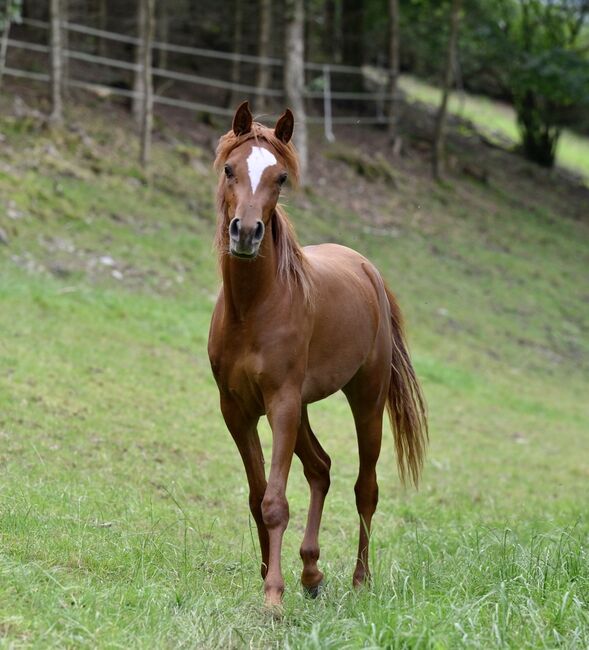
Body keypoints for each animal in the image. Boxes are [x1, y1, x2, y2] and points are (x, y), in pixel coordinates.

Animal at [208, 101, 428, 608]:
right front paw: (270, 576)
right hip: (303, 408)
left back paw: (359, 580)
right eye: (230, 169)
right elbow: (257, 497)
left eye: (281, 177)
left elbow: (274, 501)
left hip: (364, 400)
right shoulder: (237, 409)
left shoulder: (282, 404)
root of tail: (367, 269)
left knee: (366, 488)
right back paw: (310, 573)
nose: (246, 233)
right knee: (321, 469)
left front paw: (273, 595)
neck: (254, 308)